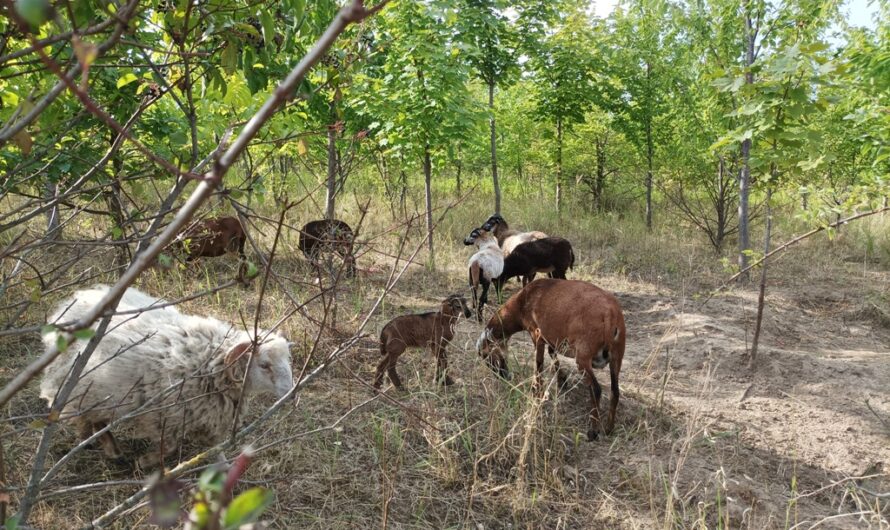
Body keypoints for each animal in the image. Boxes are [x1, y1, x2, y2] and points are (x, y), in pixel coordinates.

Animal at [40, 282, 294, 464]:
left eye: (288, 360)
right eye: (264, 365)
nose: (290, 391)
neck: (210, 362)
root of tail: (76, 300)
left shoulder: (207, 417)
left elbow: (215, 451)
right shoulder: (164, 415)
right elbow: (169, 447)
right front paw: (146, 461)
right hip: (83, 384)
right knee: (87, 415)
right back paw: (106, 447)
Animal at [478, 278, 624, 440]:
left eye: (486, 355)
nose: (502, 376)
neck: (522, 301)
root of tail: (610, 316)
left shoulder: (536, 334)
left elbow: (539, 362)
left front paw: (537, 389)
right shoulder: (552, 338)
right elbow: (552, 353)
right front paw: (562, 381)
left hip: (583, 357)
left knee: (596, 389)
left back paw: (593, 431)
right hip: (617, 357)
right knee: (615, 391)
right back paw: (609, 428)